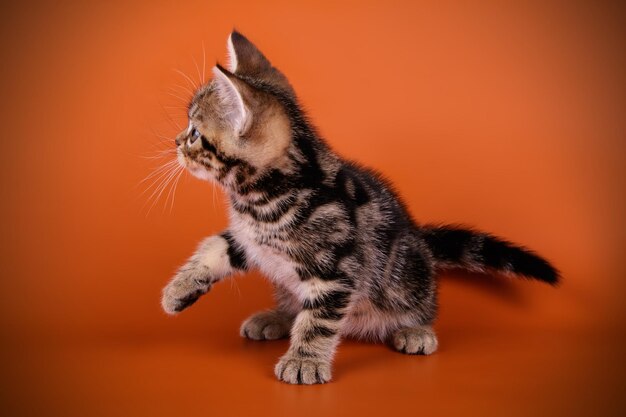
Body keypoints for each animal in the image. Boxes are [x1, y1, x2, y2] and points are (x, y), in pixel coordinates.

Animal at [160, 30, 556, 386]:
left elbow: (318, 320)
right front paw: (178, 289)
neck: (263, 196)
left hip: (406, 274)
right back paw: (277, 317)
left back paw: (415, 329)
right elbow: (216, 247)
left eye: (195, 133)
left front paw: (304, 360)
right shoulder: (249, 238)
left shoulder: (336, 268)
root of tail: (419, 238)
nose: (176, 141)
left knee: (421, 302)